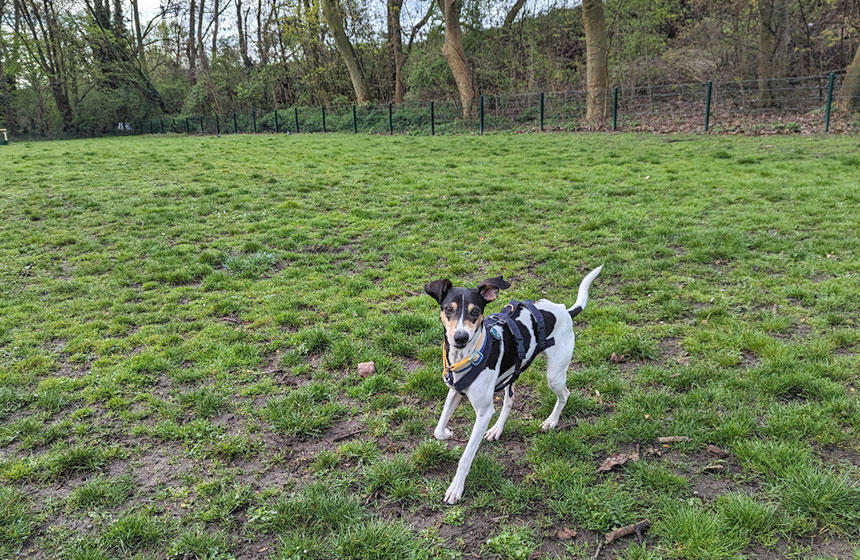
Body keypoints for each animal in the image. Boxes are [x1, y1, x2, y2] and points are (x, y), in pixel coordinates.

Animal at [424, 264, 600, 506]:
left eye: (475, 312)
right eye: (448, 309)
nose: (460, 337)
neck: (465, 356)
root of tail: (564, 310)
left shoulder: (484, 412)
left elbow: (466, 456)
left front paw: (456, 488)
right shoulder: (455, 391)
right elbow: (438, 430)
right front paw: (448, 433)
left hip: (554, 375)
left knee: (564, 393)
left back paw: (551, 422)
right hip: (512, 372)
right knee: (510, 399)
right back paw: (497, 429)